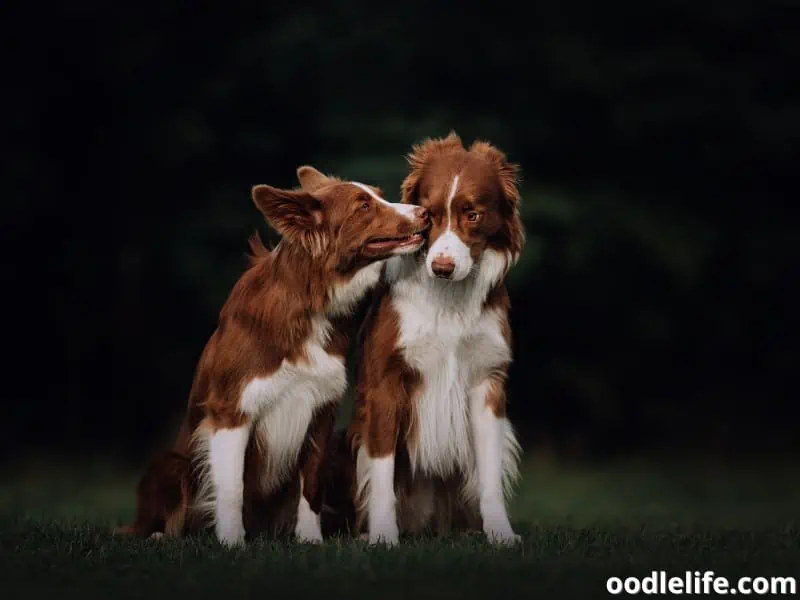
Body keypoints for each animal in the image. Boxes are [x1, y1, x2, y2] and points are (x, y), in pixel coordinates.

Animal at [115, 166, 428, 548]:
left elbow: (311, 485)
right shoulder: (231, 410)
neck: (309, 301)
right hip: (171, 465)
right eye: (363, 206)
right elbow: (231, 488)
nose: (425, 213)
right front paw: (232, 543)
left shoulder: (320, 409)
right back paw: (162, 535)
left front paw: (310, 540)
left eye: (379, 195)